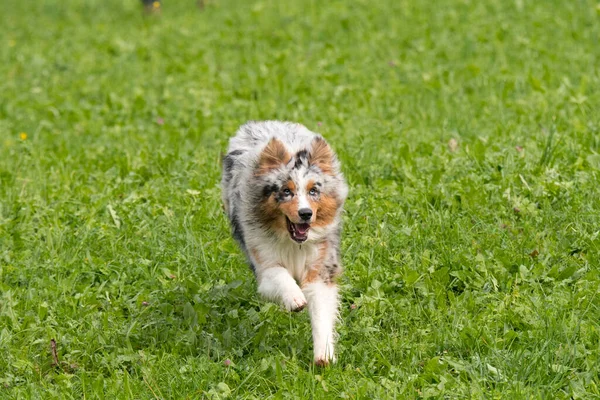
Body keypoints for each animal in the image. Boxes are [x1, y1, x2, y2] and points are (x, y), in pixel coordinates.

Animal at [223, 119, 350, 366]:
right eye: (286, 191)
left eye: (313, 191)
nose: (305, 214)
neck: (293, 243)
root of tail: (264, 122)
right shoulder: (264, 263)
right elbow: (280, 275)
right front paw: (295, 298)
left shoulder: (320, 267)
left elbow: (321, 311)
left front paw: (324, 355)